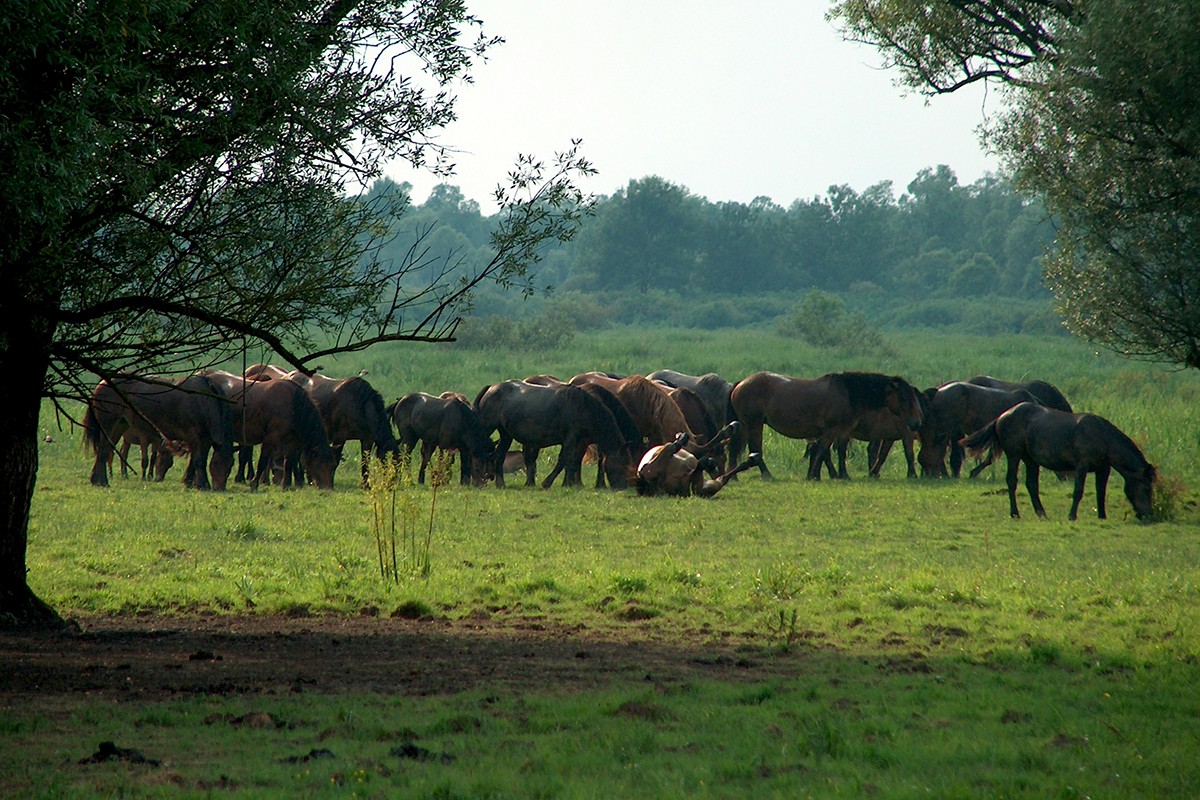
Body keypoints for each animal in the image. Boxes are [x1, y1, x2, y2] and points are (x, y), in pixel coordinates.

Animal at [84, 374, 234, 491]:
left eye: (231, 464)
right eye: (217, 464)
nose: (220, 488)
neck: (204, 400)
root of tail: (102, 383)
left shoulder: (206, 440)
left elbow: (196, 461)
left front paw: (192, 483)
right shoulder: (195, 437)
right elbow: (198, 461)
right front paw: (203, 485)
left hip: (119, 426)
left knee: (104, 451)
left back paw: (97, 480)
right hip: (108, 425)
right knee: (103, 450)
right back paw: (102, 481)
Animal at [472, 381, 633, 491]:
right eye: (623, 465)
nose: (622, 487)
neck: (583, 407)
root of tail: (491, 387)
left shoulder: (578, 441)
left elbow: (570, 461)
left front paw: (566, 483)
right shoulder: (570, 439)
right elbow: (565, 459)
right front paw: (555, 483)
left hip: (506, 435)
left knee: (499, 455)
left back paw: (500, 483)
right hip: (487, 428)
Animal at [729, 371, 916, 479]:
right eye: (904, 398)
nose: (915, 422)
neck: (847, 393)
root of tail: (741, 383)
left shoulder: (842, 431)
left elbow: (835, 451)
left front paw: (837, 474)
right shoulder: (832, 430)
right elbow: (822, 450)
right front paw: (816, 474)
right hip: (754, 424)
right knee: (756, 448)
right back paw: (766, 473)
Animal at [955, 402, 1152, 522]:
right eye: (1145, 487)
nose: (1147, 514)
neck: (1102, 436)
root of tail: (1002, 416)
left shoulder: (1103, 469)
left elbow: (1101, 492)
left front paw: (1102, 516)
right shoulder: (1082, 466)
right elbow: (1078, 491)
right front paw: (1072, 516)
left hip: (1031, 460)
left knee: (1032, 485)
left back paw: (1041, 513)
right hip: (1014, 455)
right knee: (1012, 481)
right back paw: (1015, 513)